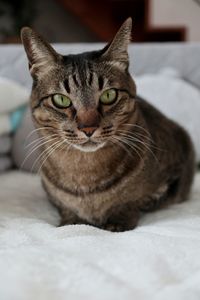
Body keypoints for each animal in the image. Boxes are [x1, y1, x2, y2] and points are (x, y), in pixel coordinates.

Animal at [20, 18, 195, 232]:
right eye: (61, 100)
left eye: (108, 95)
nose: (88, 128)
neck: (85, 172)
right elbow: (67, 210)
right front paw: (71, 221)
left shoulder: (180, 163)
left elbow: (136, 201)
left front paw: (118, 221)